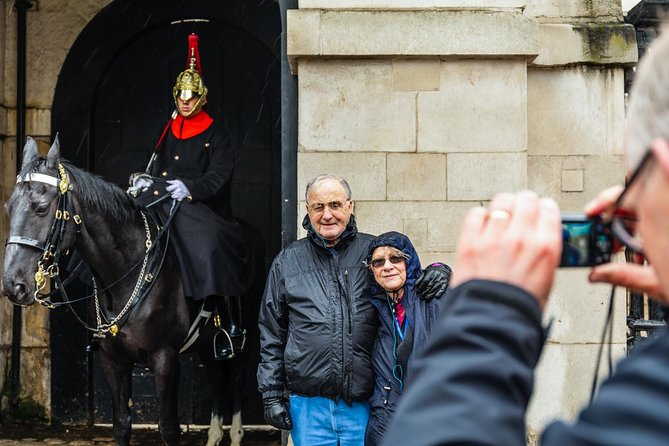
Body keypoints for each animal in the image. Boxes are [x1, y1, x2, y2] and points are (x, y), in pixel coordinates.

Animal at [1, 137, 258, 446]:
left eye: (40, 208)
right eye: (9, 207)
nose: (13, 285)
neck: (125, 276)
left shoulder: (165, 358)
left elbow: (168, 427)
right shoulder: (112, 360)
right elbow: (122, 424)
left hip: (242, 342)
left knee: (237, 379)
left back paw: (236, 434)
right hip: (207, 343)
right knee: (218, 378)